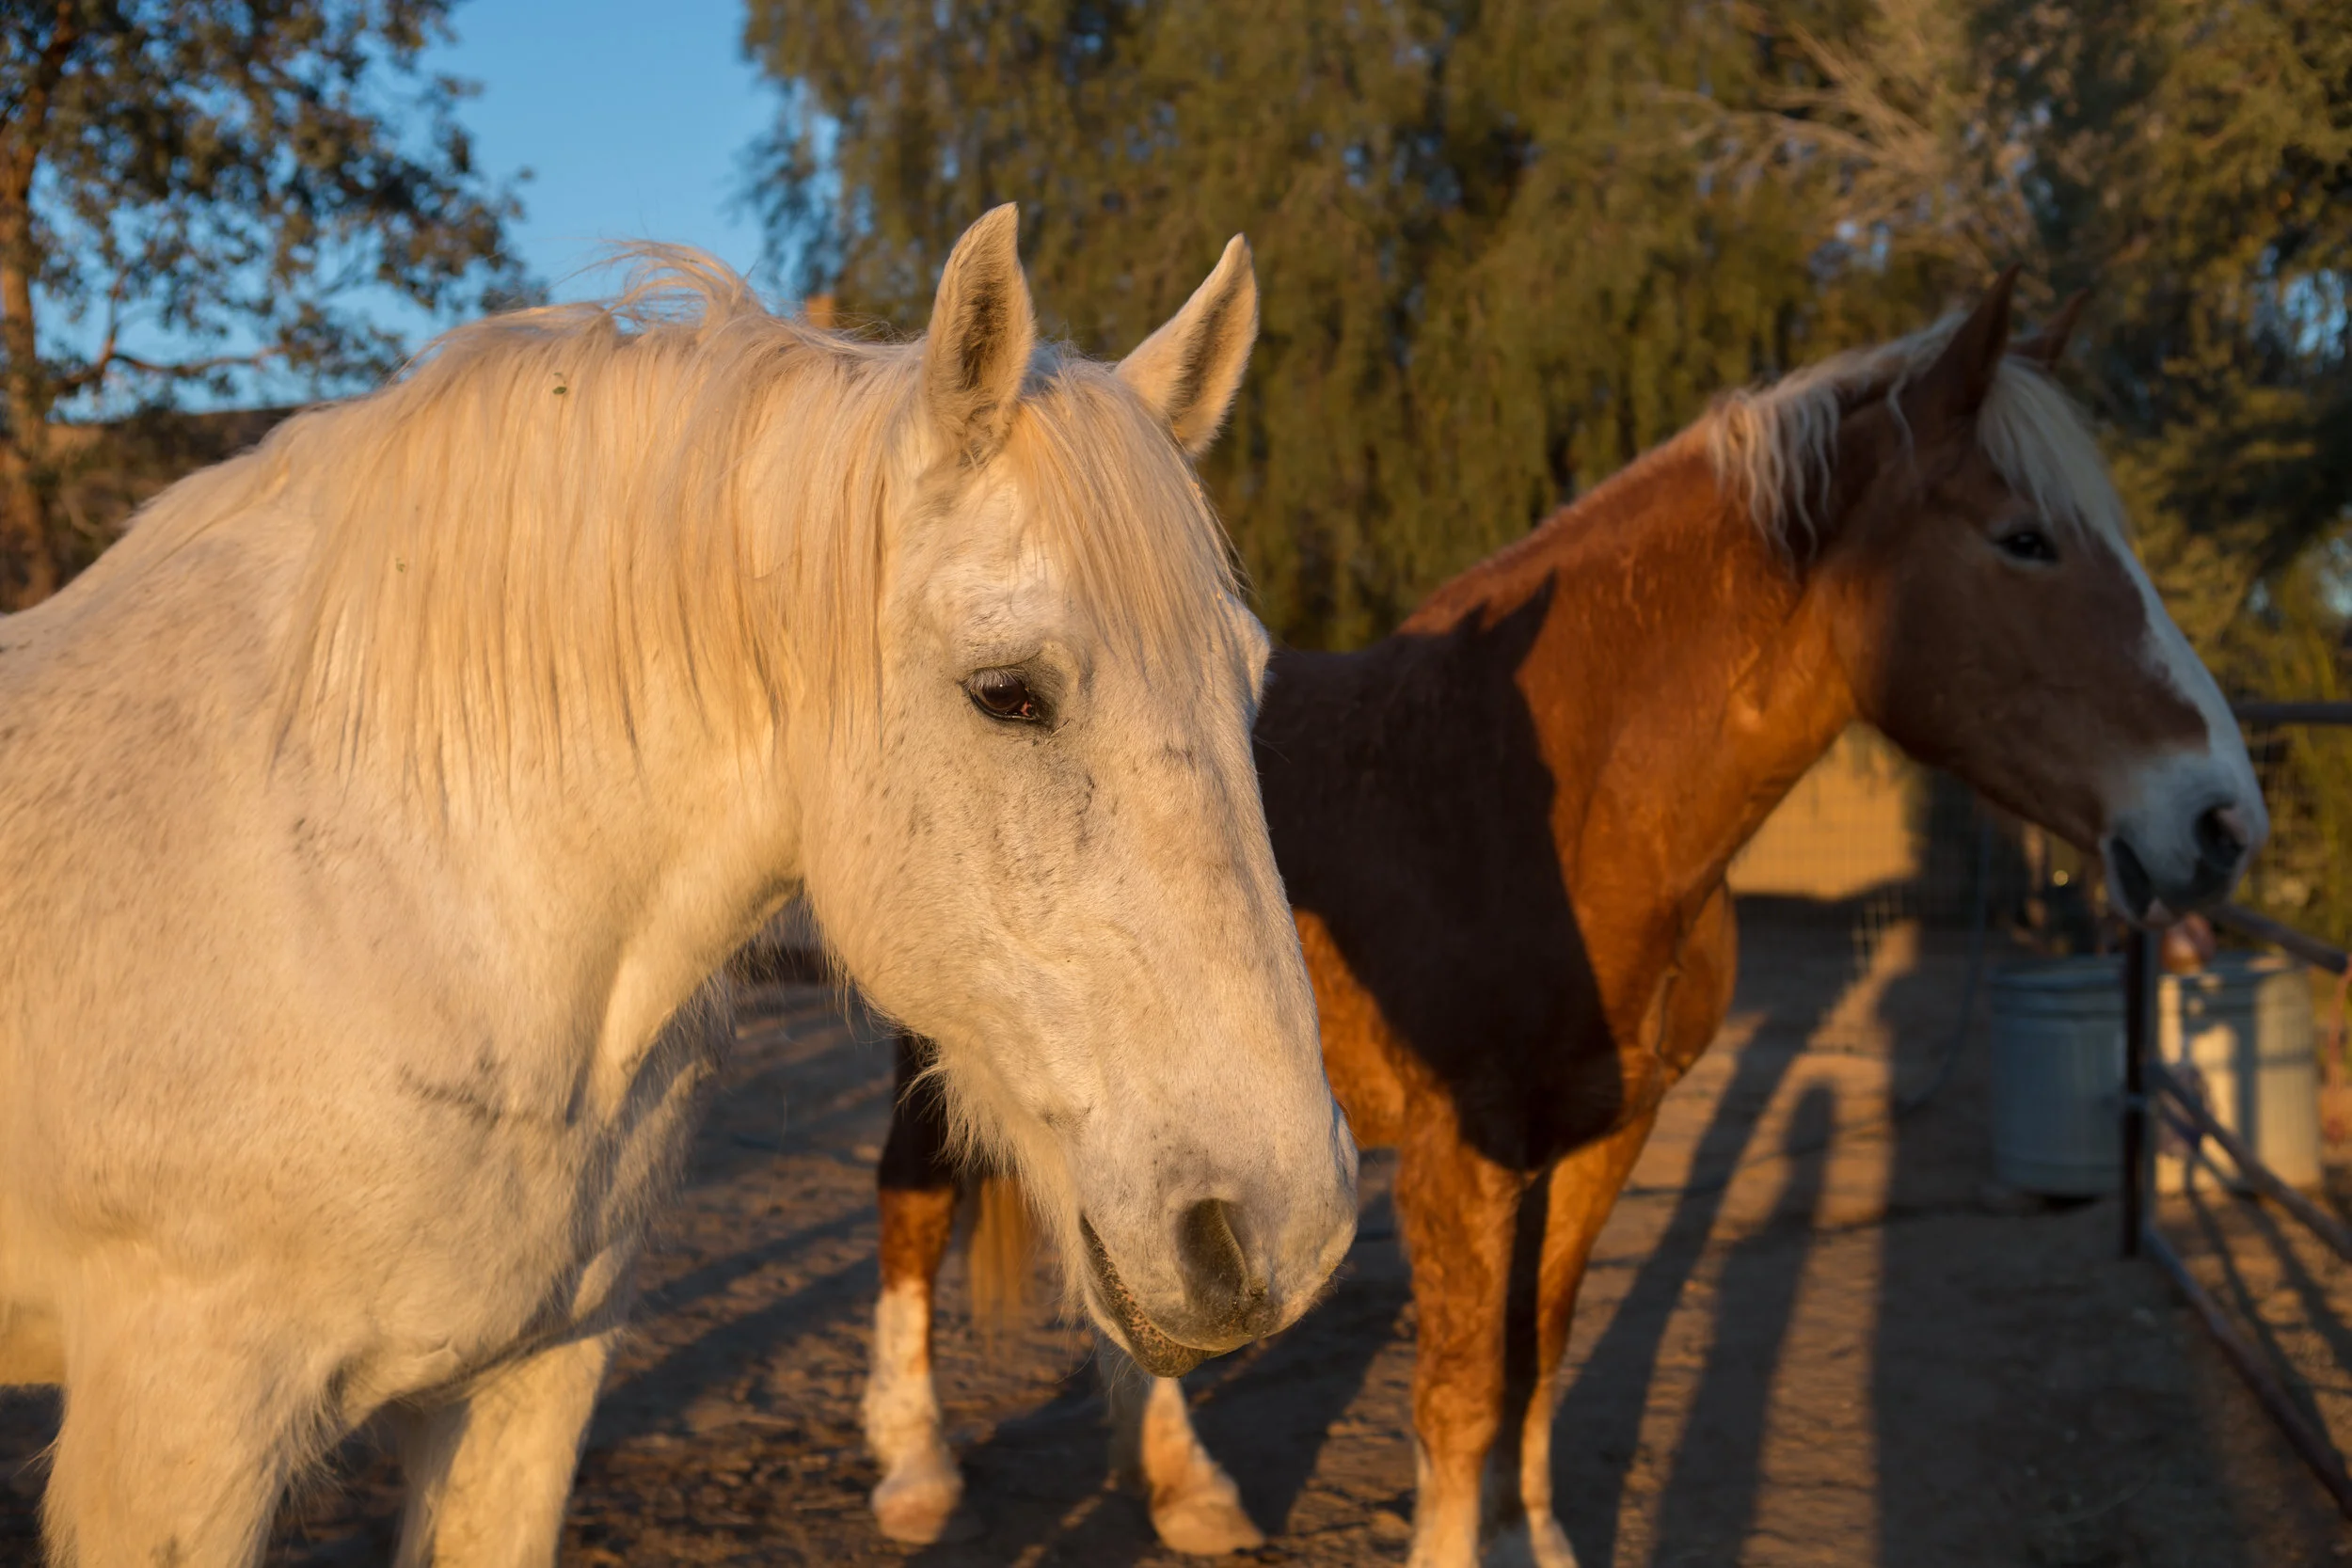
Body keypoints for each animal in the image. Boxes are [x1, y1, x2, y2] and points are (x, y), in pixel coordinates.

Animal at [0, 206, 1357, 1566]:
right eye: (1007, 692)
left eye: (1252, 680)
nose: (1290, 1228)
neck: (373, 905)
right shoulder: (184, 1436)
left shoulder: (532, 1382)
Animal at [860, 273, 2268, 1564]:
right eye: (2024, 538)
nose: (2222, 820)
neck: (1544, 808)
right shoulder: (1457, 1158)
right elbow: (1457, 1395)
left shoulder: (1608, 1134)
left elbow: (1537, 1355)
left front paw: (1532, 1534)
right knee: (911, 1205)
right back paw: (920, 1473)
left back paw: (1182, 1485)